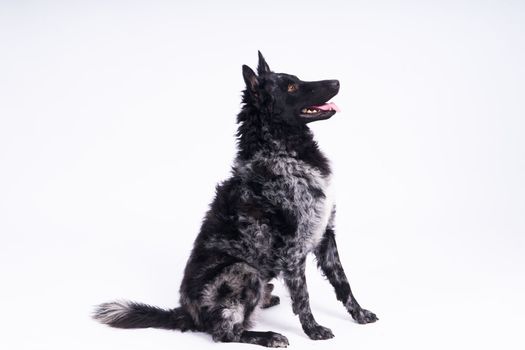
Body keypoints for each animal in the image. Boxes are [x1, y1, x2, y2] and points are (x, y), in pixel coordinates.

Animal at [94, 51, 376, 348]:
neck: (281, 151)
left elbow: (343, 283)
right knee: (225, 332)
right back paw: (268, 335)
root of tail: (187, 314)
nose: (336, 81)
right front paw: (313, 329)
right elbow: (302, 297)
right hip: (244, 270)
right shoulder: (293, 249)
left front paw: (359, 314)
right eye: (290, 87)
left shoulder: (325, 234)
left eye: (297, 79)